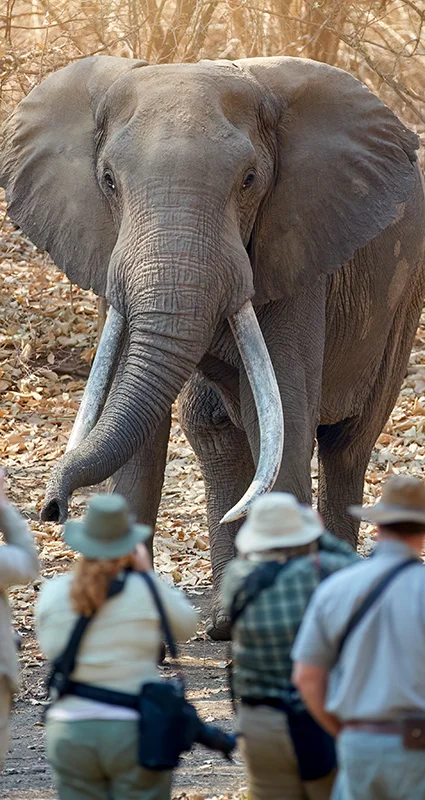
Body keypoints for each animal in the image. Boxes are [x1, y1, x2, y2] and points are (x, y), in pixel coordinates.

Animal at [1, 56, 424, 639]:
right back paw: (225, 621)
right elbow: (144, 435)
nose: (51, 507)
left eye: (249, 180)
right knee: (216, 430)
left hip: (401, 304)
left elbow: (284, 417)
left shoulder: (295, 248)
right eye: (107, 180)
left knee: (345, 444)